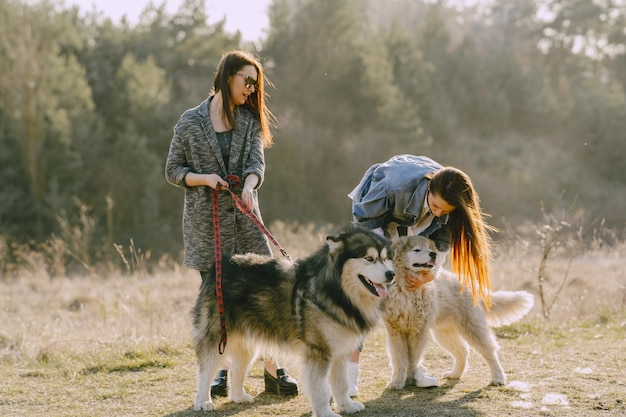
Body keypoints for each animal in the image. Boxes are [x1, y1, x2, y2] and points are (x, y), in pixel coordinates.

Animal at [193, 226, 392, 414]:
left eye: (385, 258)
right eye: (369, 258)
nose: (391, 274)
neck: (336, 290)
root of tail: (221, 264)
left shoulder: (340, 351)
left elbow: (341, 383)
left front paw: (346, 406)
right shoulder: (318, 351)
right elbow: (320, 389)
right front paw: (326, 413)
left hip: (247, 342)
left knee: (236, 368)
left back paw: (238, 396)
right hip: (217, 337)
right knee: (205, 372)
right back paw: (203, 401)